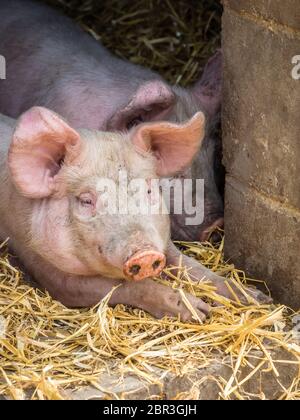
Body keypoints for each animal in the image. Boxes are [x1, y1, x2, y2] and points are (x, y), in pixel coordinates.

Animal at [0, 106, 270, 320]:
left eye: (149, 189)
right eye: (86, 200)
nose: (145, 253)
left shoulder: (163, 241)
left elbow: (194, 267)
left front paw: (257, 298)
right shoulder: (52, 274)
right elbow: (128, 287)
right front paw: (200, 312)